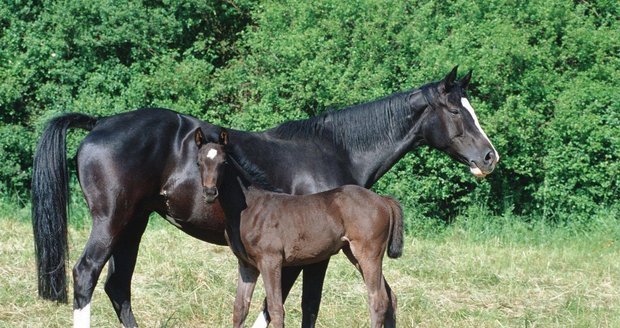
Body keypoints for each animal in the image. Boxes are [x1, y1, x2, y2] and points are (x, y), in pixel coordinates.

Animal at [196, 129, 404, 328]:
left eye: (223, 162)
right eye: (199, 162)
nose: (210, 193)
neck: (250, 207)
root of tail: (383, 200)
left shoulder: (271, 261)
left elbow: (275, 309)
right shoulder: (247, 265)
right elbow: (240, 309)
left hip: (369, 254)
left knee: (378, 300)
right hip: (354, 253)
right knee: (390, 297)